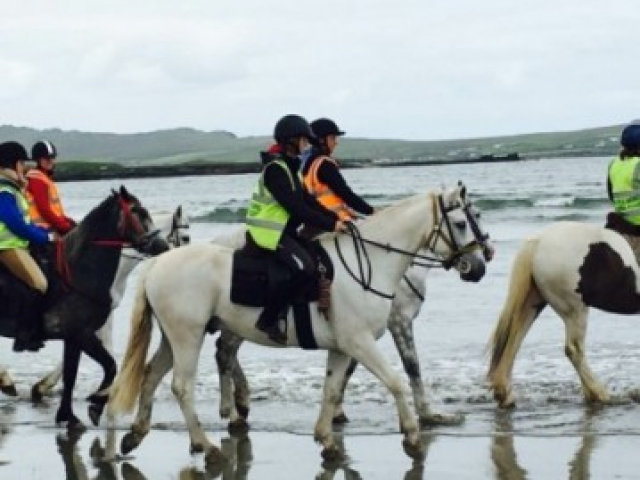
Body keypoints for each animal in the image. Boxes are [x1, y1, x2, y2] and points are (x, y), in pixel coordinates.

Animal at [0, 186, 169, 430]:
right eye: (137, 212)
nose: (162, 246)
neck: (78, 271)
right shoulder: (81, 334)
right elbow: (109, 366)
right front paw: (95, 404)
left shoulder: (74, 337)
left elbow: (73, 374)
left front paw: (69, 414)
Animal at [212, 199, 492, 432]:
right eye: (462, 223)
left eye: (478, 215)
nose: (479, 266)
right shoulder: (396, 322)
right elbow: (412, 366)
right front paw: (428, 415)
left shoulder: (357, 332)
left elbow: (347, 370)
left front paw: (336, 411)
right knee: (225, 353)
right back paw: (236, 410)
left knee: (225, 353)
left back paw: (239, 404)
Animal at [488, 219, 640, 406]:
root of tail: (539, 241)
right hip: (575, 309)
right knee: (574, 349)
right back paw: (599, 393)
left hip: (533, 303)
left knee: (514, 341)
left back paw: (504, 393)